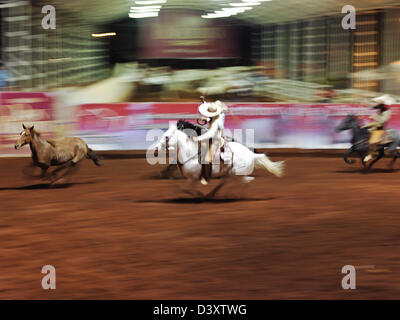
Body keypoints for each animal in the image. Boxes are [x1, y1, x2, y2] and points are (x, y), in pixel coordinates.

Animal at [152, 122, 286, 198]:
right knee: (231, 181)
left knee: (246, 181)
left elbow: (186, 188)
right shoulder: (192, 178)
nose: (155, 149)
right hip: (230, 173)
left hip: (236, 173)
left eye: (166, 137)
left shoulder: (193, 177)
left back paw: (233, 195)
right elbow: (184, 187)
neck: (191, 152)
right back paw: (214, 193)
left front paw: (199, 195)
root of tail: (251, 154)